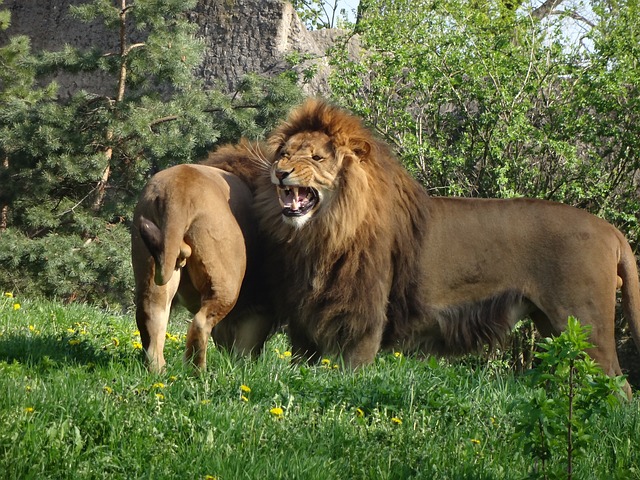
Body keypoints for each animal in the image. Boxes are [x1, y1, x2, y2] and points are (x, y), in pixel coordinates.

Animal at [131, 163, 272, 374]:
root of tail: (178, 189)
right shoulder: (257, 308)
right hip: (225, 282)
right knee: (200, 323)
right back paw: (198, 371)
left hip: (151, 270)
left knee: (151, 316)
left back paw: (158, 370)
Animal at [204, 98, 640, 398]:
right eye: (284, 153)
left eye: (315, 157)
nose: (280, 173)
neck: (323, 234)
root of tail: (611, 231)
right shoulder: (306, 320)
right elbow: (302, 367)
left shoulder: (363, 319)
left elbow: (351, 375)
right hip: (556, 328)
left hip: (585, 324)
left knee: (620, 387)